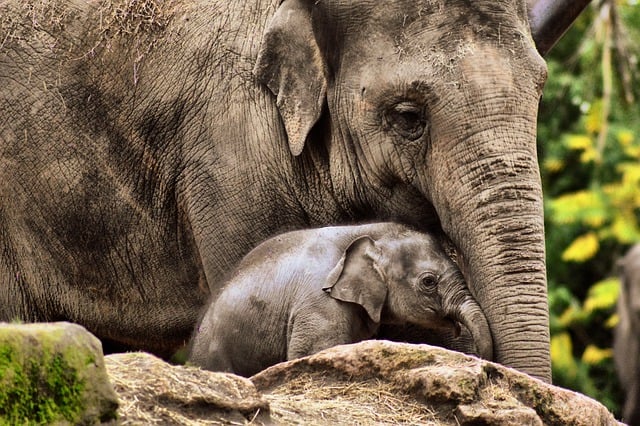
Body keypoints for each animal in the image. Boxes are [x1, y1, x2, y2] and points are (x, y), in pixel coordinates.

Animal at [188, 223, 492, 376]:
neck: (368, 233)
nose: (482, 358)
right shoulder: (320, 305)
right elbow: (315, 352)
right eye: (429, 282)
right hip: (215, 354)